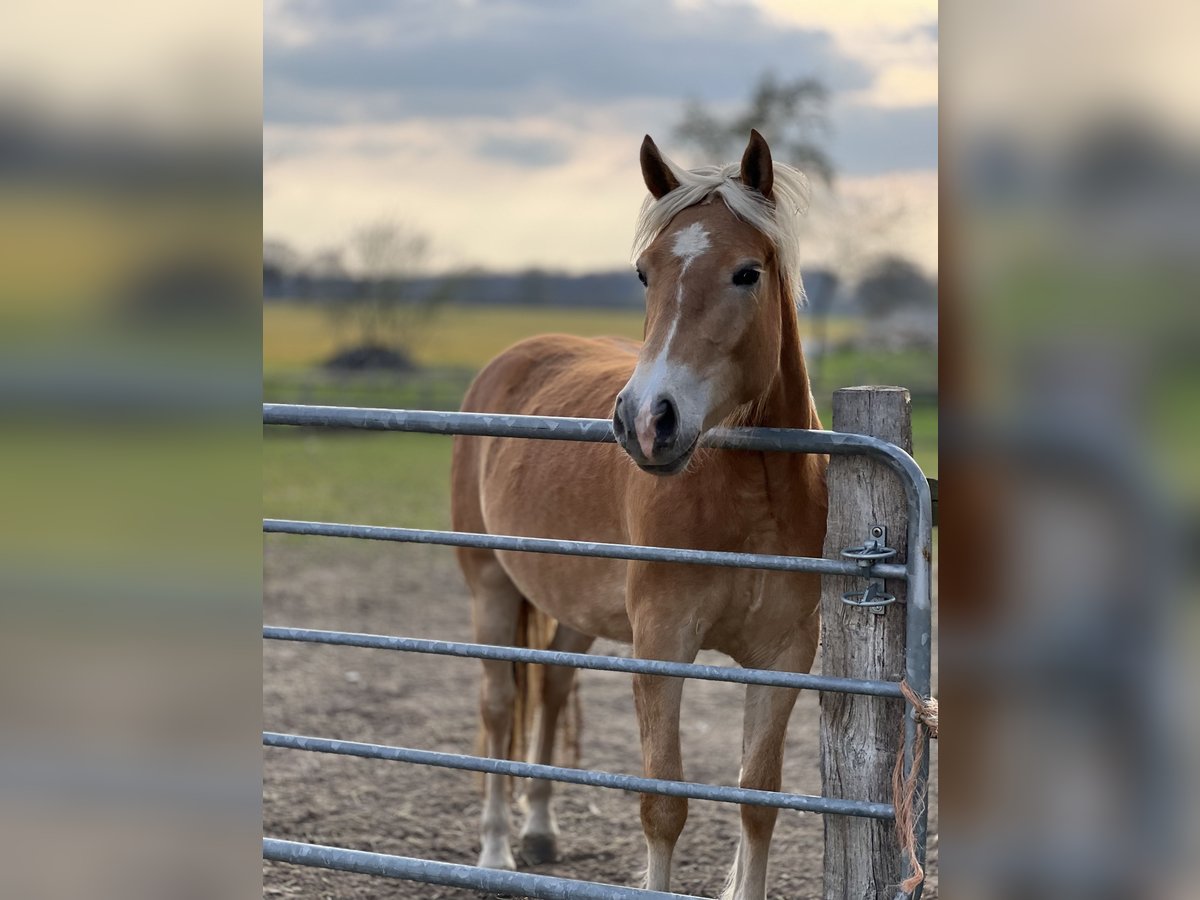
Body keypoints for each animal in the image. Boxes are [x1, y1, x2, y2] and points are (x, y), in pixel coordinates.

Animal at [450, 129, 828, 900]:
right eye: (644, 274)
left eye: (747, 273)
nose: (647, 421)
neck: (753, 497)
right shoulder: (661, 645)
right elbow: (664, 804)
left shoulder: (785, 657)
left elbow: (758, 799)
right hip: (490, 584)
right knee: (499, 704)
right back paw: (496, 850)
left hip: (568, 600)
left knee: (553, 687)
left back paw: (539, 831)